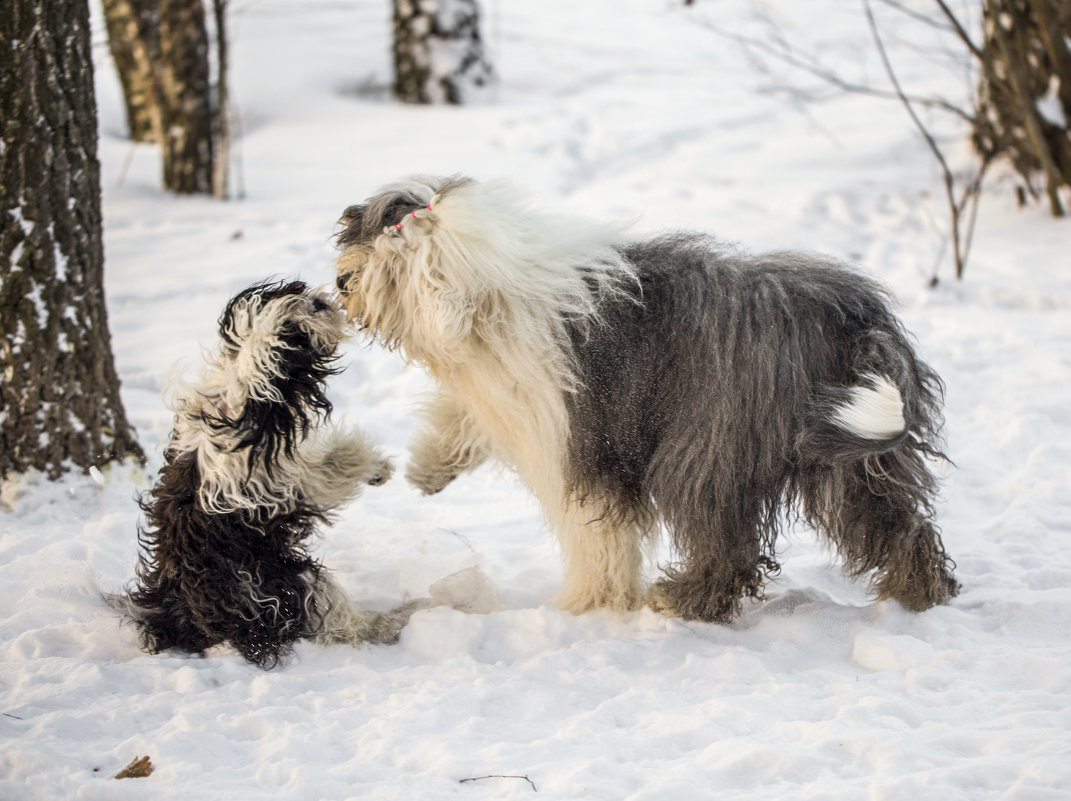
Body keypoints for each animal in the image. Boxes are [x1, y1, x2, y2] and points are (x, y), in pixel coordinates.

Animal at [118, 278, 409, 668]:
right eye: (293, 332)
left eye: (296, 294)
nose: (318, 302)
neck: (239, 401)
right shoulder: (284, 486)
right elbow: (332, 467)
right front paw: (376, 467)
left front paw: (378, 468)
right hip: (277, 582)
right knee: (334, 618)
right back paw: (386, 623)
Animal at [334, 175, 963, 625]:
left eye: (388, 262)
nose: (341, 284)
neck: (487, 293)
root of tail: (854, 324)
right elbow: (465, 414)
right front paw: (429, 468)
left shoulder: (580, 443)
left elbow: (596, 535)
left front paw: (587, 605)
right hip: (851, 450)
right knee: (896, 524)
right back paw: (916, 594)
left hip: (708, 441)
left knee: (726, 544)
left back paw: (681, 600)